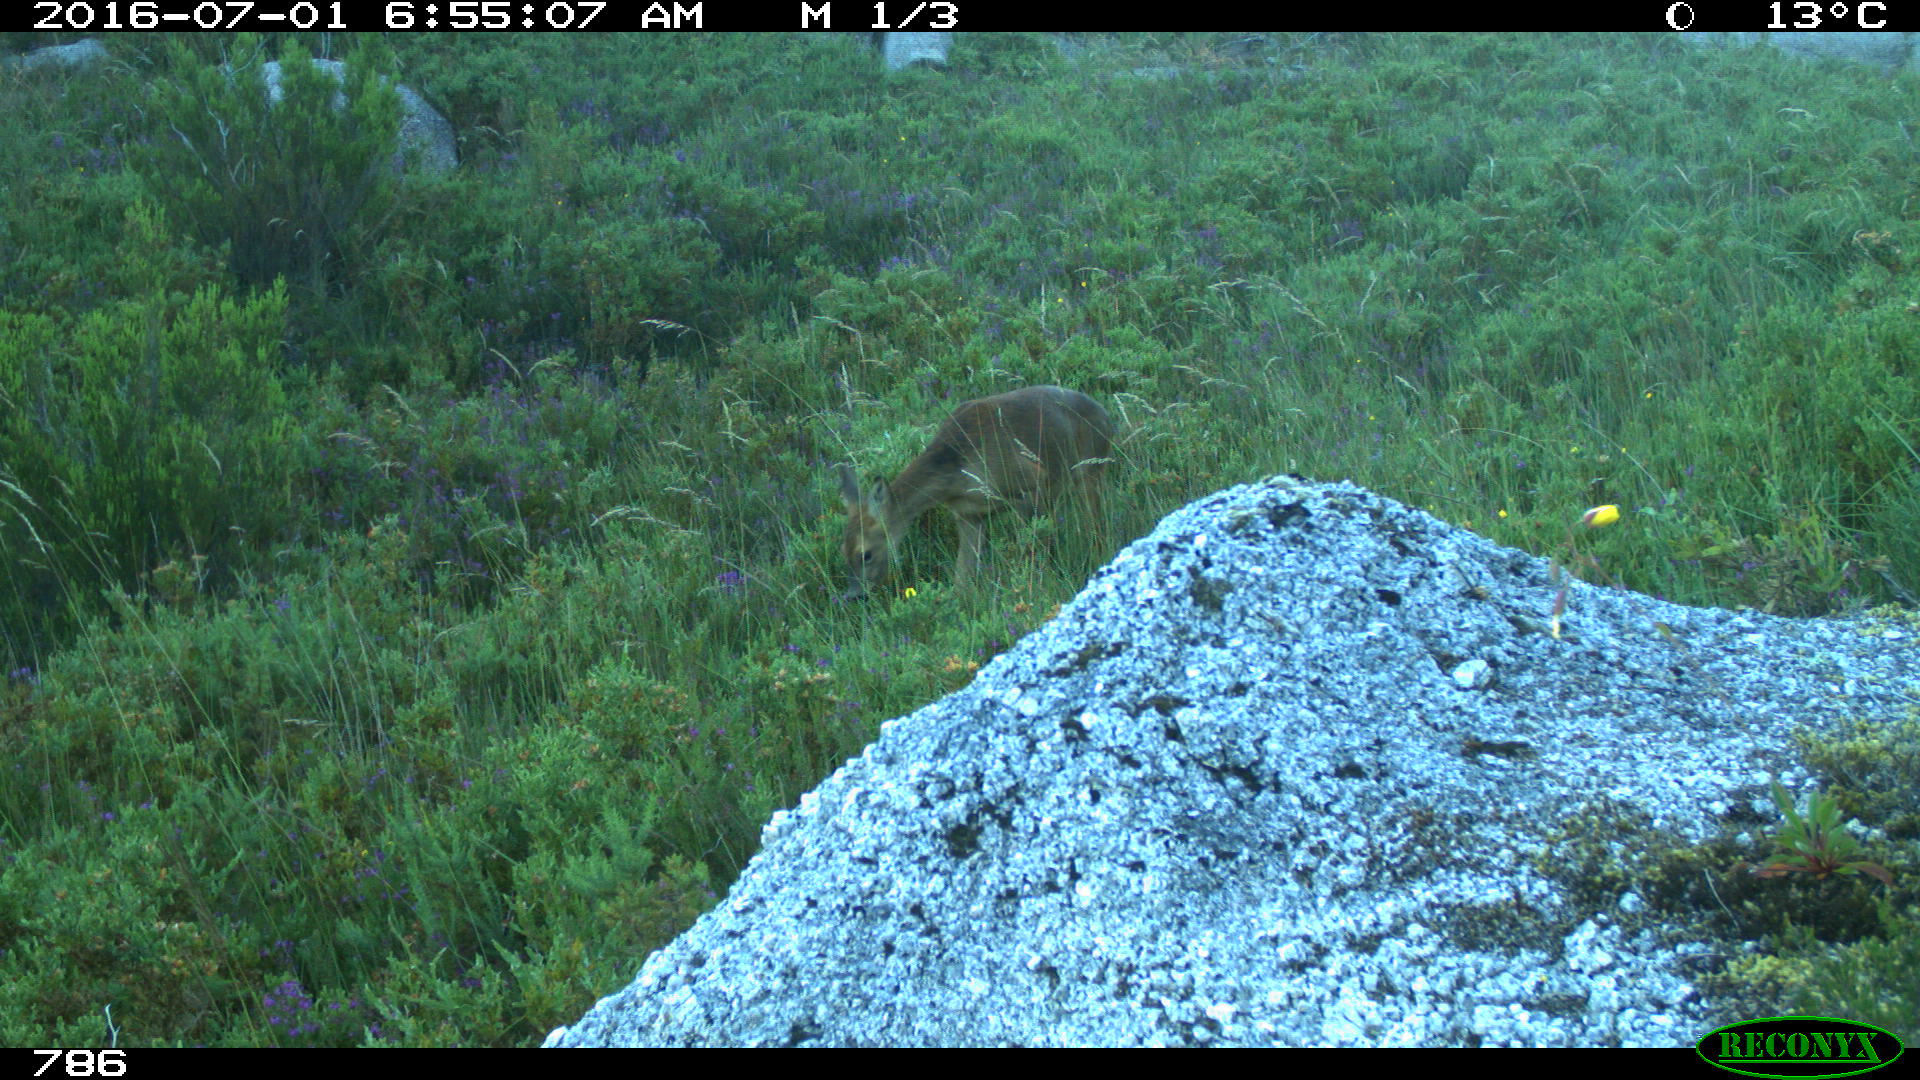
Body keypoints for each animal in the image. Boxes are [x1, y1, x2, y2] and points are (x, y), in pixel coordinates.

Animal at [837, 385, 1114, 597]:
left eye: (865, 554)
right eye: (843, 552)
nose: (853, 595)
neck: (957, 470)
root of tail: (1108, 417)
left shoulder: (1031, 483)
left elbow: (1032, 551)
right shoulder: (968, 515)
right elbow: (963, 575)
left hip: (1092, 471)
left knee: (1098, 527)